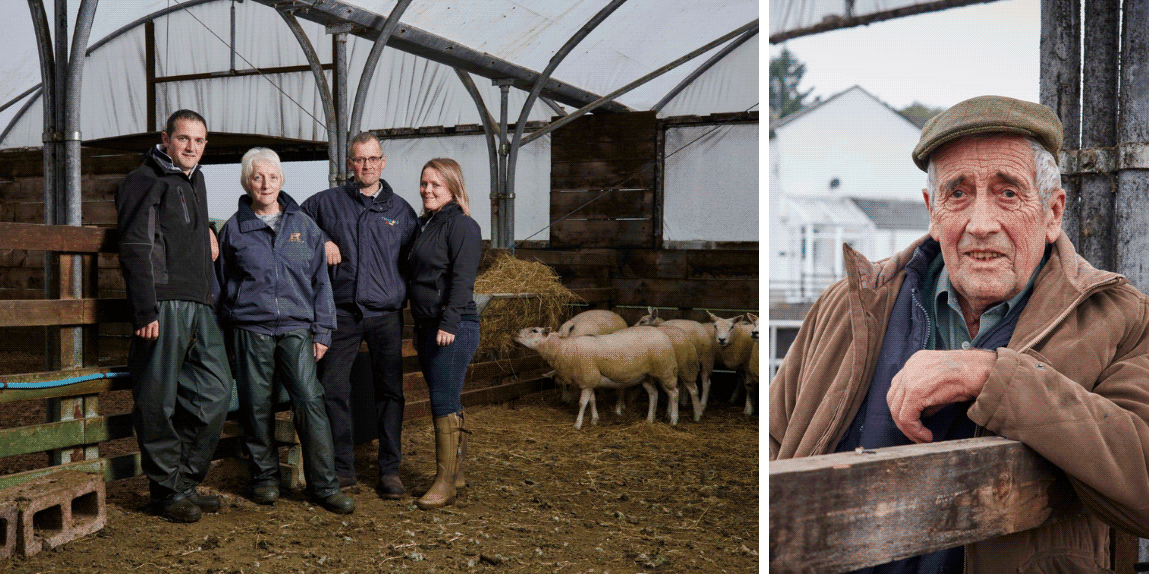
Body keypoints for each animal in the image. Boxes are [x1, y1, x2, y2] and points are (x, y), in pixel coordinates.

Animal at [517, 326, 675, 429]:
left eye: (534, 330)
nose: (516, 332)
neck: (565, 349)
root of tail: (662, 333)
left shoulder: (587, 379)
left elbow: (582, 403)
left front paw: (578, 424)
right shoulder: (589, 380)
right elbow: (592, 401)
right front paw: (594, 420)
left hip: (664, 369)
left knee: (674, 393)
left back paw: (673, 420)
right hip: (645, 376)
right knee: (654, 393)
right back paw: (650, 419)